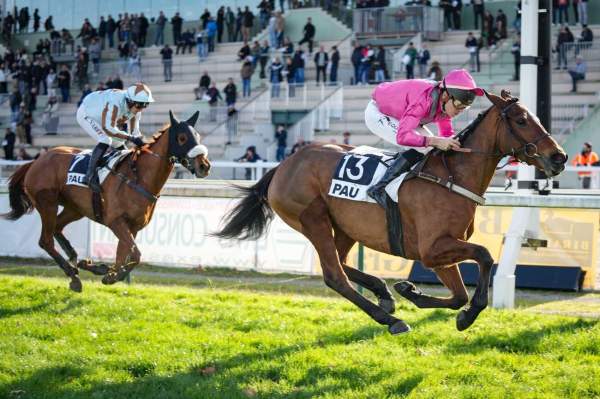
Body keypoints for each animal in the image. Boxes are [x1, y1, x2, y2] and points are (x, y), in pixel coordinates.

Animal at [1, 111, 211, 292]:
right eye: (182, 138)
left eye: (198, 137)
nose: (204, 166)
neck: (138, 177)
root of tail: (36, 160)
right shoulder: (116, 221)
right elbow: (136, 255)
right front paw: (110, 274)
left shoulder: (132, 226)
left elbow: (123, 256)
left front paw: (103, 271)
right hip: (47, 203)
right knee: (45, 240)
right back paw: (73, 275)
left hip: (75, 209)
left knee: (57, 229)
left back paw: (77, 260)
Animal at [216, 91, 568, 334]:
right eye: (521, 120)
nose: (560, 157)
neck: (452, 177)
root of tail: (284, 164)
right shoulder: (432, 248)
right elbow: (483, 255)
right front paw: (469, 314)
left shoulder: (440, 252)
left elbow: (457, 295)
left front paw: (410, 290)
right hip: (312, 219)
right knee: (334, 275)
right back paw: (390, 319)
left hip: (344, 227)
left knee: (341, 263)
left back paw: (383, 291)